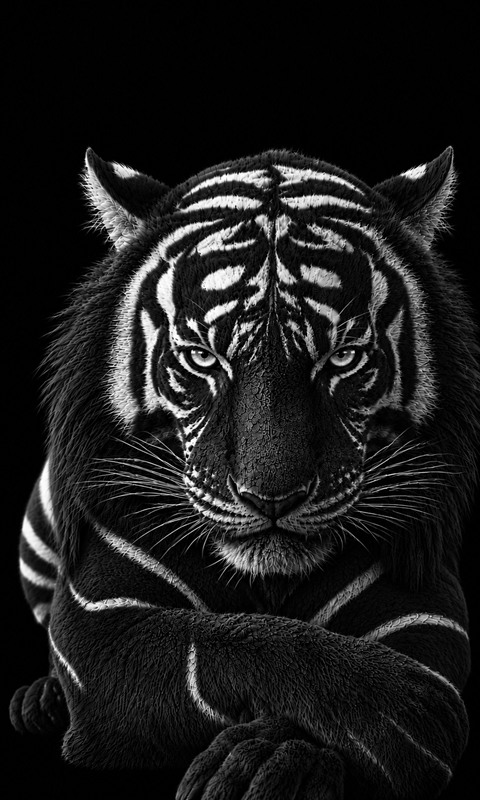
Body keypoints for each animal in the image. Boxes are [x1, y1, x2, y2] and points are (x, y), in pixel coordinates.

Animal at [10, 146, 478, 799]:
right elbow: (240, 644)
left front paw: (265, 759)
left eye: (342, 357)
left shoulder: (426, 616)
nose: (271, 497)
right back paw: (39, 700)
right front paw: (406, 702)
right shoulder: (103, 624)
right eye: (203, 358)